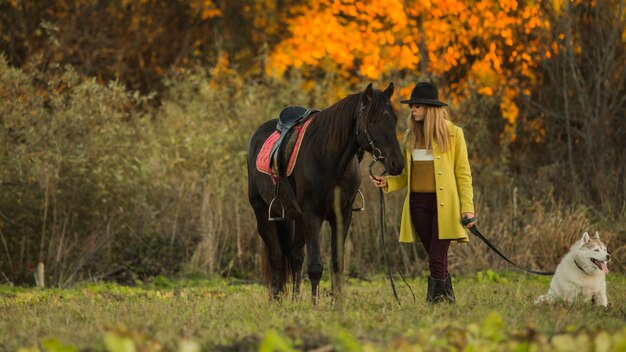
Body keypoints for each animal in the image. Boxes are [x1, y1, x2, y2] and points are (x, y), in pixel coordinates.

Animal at [246, 83, 402, 302]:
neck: (330, 161)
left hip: (297, 218)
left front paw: (336, 303)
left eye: (393, 120)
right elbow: (315, 266)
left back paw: (295, 299)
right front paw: (315, 304)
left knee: (295, 255)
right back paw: (276, 300)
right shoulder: (313, 215)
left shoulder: (342, 216)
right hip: (262, 212)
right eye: (373, 120)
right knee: (276, 257)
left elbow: (336, 264)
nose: (397, 163)